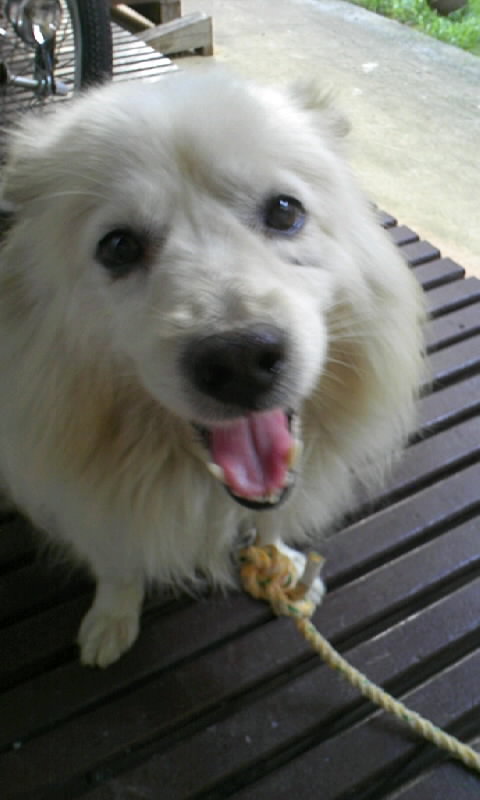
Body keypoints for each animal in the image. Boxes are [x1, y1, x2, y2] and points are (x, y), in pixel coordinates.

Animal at [0, 71, 425, 667]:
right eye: (118, 247)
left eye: (285, 211)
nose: (240, 360)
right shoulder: (88, 498)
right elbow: (117, 563)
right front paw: (111, 619)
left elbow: (267, 525)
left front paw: (283, 563)